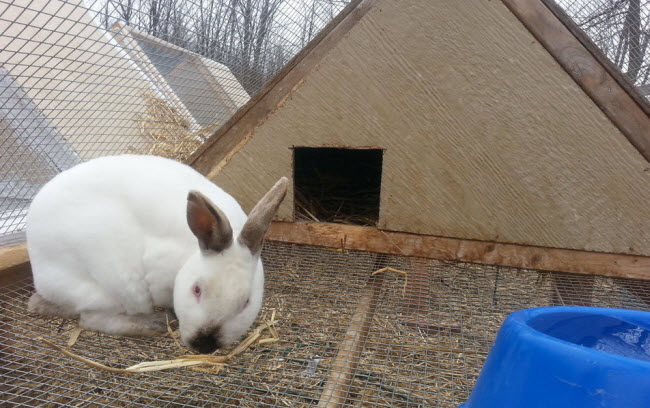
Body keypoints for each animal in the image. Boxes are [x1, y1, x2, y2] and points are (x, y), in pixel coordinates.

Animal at [27, 155, 286, 352]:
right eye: (196, 289)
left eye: (245, 303)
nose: (203, 345)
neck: (189, 256)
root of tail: (40, 277)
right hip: (121, 284)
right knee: (92, 319)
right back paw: (156, 323)